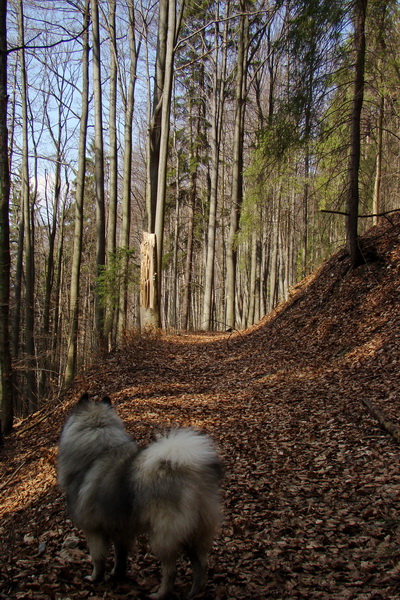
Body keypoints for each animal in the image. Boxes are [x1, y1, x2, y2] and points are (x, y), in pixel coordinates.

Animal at [57, 394, 222, 600]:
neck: (99, 450)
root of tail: (190, 475)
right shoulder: (121, 530)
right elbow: (120, 556)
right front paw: (116, 575)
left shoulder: (93, 529)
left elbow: (98, 558)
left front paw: (95, 578)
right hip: (195, 532)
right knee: (201, 565)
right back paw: (194, 592)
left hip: (164, 535)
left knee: (171, 570)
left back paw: (160, 594)